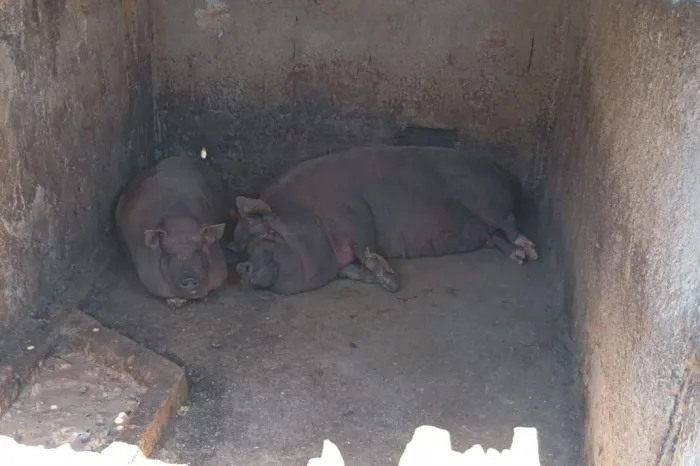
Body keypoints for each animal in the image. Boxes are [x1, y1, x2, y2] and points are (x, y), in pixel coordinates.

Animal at [232, 145, 538, 295]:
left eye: (268, 233)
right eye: (245, 249)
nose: (243, 267)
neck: (311, 215)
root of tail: (499, 168)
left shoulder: (356, 213)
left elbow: (366, 250)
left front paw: (391, 283)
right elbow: (352, 272)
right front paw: (381, 280)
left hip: (484, 200)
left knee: (508, 221)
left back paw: (530, 252)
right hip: (482, 227)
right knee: (495, 236)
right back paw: (518, 257)